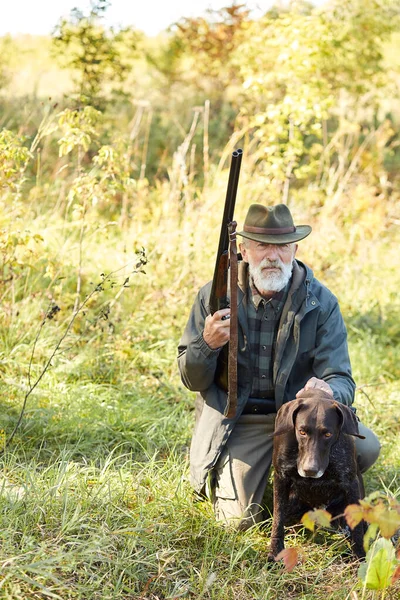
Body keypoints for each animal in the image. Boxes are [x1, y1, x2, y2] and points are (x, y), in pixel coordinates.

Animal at [268, 390, 366, 556]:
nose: (310, 470)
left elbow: (357, 529)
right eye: (301, 431)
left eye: (328, 434)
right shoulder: (281, 478)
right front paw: (275, 551)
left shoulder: (351, 483)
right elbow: (278, 517)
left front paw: (360, 557)